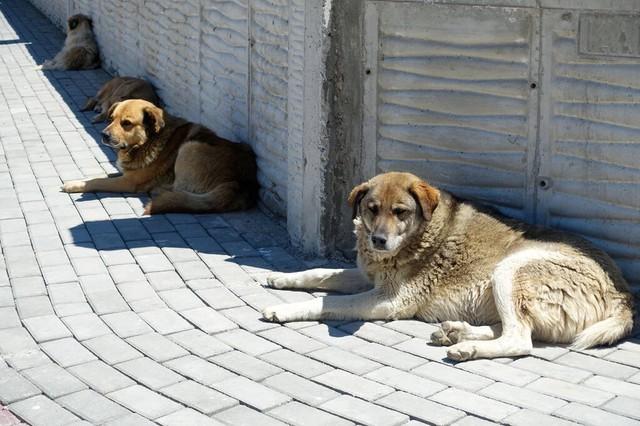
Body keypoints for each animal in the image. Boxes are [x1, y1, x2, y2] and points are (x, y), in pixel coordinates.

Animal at [60, 98, 258, 215]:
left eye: (126, 123)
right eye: (111, 119)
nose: (103, 135)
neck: (147, 141)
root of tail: (242, 184)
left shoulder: (128, 182)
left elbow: (96, 181)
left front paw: (74, 185)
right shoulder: (127, 174)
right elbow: (105, 174)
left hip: (189, 147)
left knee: (178, 190)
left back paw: (160, 191)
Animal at [262, 171, 636, 362]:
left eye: (400, 212)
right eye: (372, 208)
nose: (378, 241)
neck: (421, 233)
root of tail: (624, 296)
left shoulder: (387, 301)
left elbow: (327, 303)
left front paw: (285, 309)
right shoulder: (369, 277)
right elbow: (320, 274)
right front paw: (279, 278)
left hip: (510, 271)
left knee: (519, 340)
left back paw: (467, 347)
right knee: (519, 331)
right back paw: (456, 332)